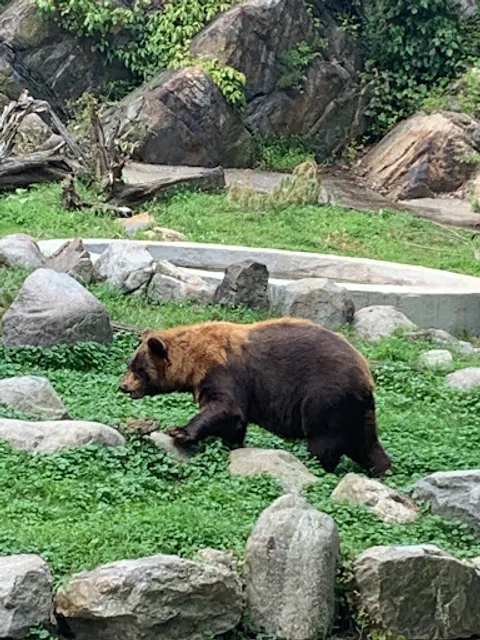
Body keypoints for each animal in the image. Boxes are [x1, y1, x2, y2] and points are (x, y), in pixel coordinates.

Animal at [120, 317, 392, 476]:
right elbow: (234, 422)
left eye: (138, 369)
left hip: (325, 396)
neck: (195, 362)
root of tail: (366, 373)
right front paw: (232, 445)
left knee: (324, 440)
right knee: (365, 442)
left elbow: (225, 407)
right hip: (354, 409)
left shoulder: (225, 371)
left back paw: (315, 465)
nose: (123, 386)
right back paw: (382, 469)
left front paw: (179, 432)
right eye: (130, 364)